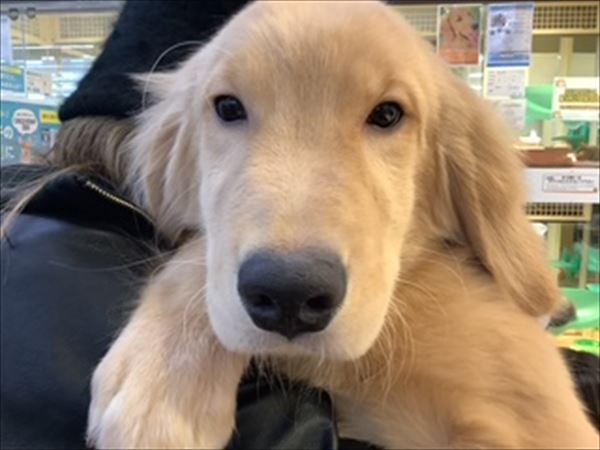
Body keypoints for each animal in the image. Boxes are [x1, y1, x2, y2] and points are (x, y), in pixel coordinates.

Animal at [86, 2, 599, 448]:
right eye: (228, 107)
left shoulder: (537, 415)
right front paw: (161, 378)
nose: (289, 294)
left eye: (388, 114)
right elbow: (201, 256)